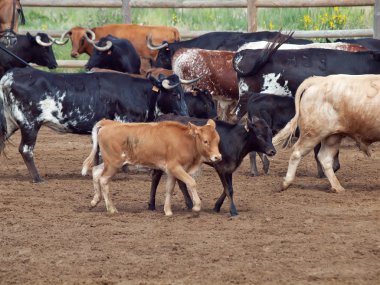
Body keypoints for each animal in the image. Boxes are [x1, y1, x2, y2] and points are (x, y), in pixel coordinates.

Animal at [0, 67, 189, 182]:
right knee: (26, 149)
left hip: (11, 123)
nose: (186, 114)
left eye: (183, 93)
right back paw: (38, 178)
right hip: (29, 125)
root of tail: (10, 76)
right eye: (175, 94)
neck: (138, 93)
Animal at [81, 117, 221, 215]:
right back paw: (111, 209)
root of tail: (109, 123)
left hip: (110, 163)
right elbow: (191, 182)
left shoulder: (171, 171)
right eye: (206, 141)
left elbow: (169, 189)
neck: (185, 141)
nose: (218, 157)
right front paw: (196, 206)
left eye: (218, 140)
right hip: (113, 164)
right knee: (103, 179)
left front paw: (168, 211)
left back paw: (95, 201)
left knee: (96, 171)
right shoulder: (175, 167)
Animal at [148, 113, 276, 215]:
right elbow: (228, 189)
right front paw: (233, 211)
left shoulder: (229, 168)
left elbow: (228, 188)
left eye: (270, 134)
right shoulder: (220, 167)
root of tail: (161, 117)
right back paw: (151, 205)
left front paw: (216, 206)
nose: (272, 151)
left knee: (181, 181)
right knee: (155, 178)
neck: (234, 140)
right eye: (259, 135)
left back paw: (189, 204)